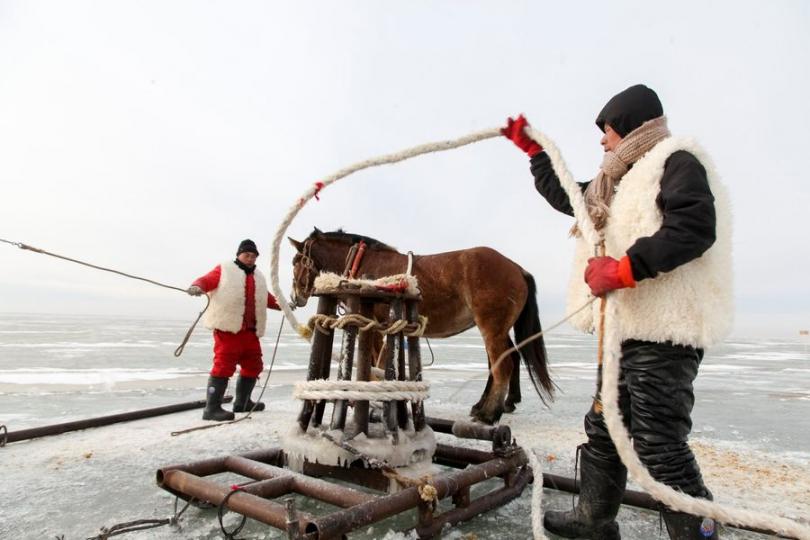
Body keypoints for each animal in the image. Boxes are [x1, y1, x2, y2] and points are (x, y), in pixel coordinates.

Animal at [288, 226, 552, 424]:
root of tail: (517, 268)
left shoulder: (376, 328)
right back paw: (491, 405)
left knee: (503, 365)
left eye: (296, 261)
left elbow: (376, 367)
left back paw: (489, 414)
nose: (295, 297)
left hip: (492, 327)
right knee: (506, 359)